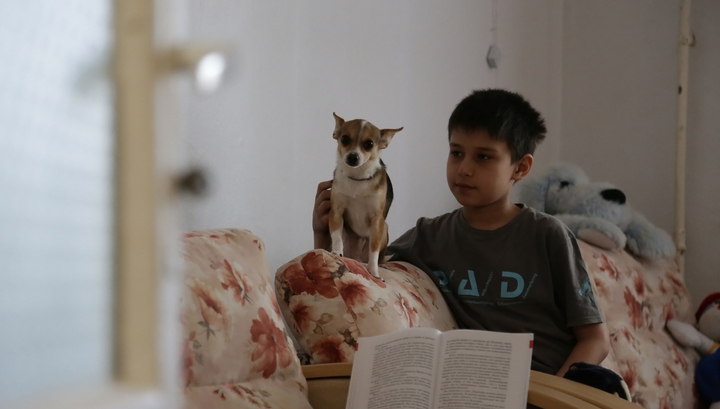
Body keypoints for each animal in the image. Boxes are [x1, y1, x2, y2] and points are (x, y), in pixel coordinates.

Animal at [329, 112, 403, 280]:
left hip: (384, 228)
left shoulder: (377, 220)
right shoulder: (336, 212)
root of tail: (357, 258)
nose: (353, 157)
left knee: (376, 256)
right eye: (344, 139)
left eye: (369, 144)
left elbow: (373, 252)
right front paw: (336, 251)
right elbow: (336, 237)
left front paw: (374, 272)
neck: (357, 178)